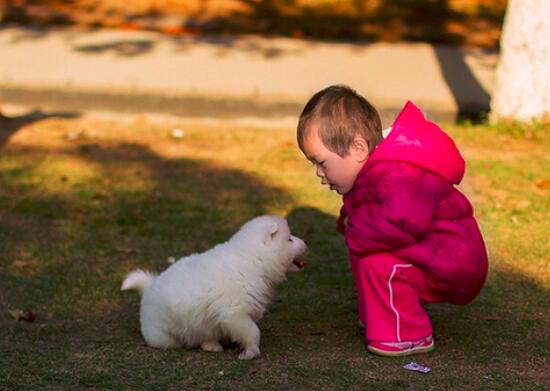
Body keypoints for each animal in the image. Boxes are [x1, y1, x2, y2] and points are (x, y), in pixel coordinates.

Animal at [121, 216, 308, 360]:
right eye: (289, 239)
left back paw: (212, 345)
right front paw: (251, 351)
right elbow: (253, 332)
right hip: (163, 337)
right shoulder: (234, 313)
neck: (254, 260)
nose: (306, 242)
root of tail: (148, 288)